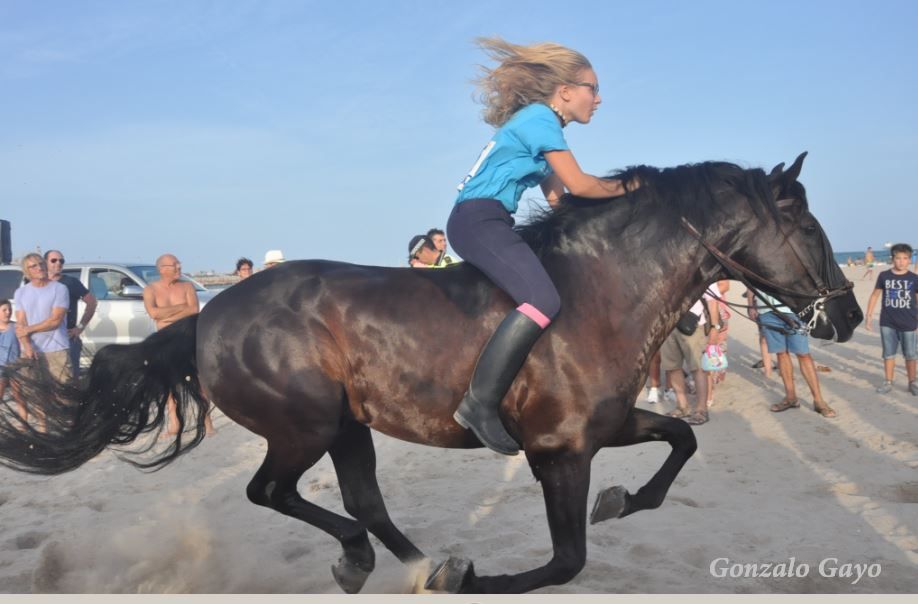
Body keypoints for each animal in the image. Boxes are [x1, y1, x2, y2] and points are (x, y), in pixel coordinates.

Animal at [0, 153, 864, 592]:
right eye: (809, 229)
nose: (848, 316)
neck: (602, 290)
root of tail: (208, 314)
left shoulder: (606, 426)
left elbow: (682, 439)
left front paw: (625, 501)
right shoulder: (560, 452)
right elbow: (566, 561)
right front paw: (469, 577)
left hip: (345, 426)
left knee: (362, 502)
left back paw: (400, 561)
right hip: (304, 426)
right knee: (272, 493)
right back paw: (378, 561)